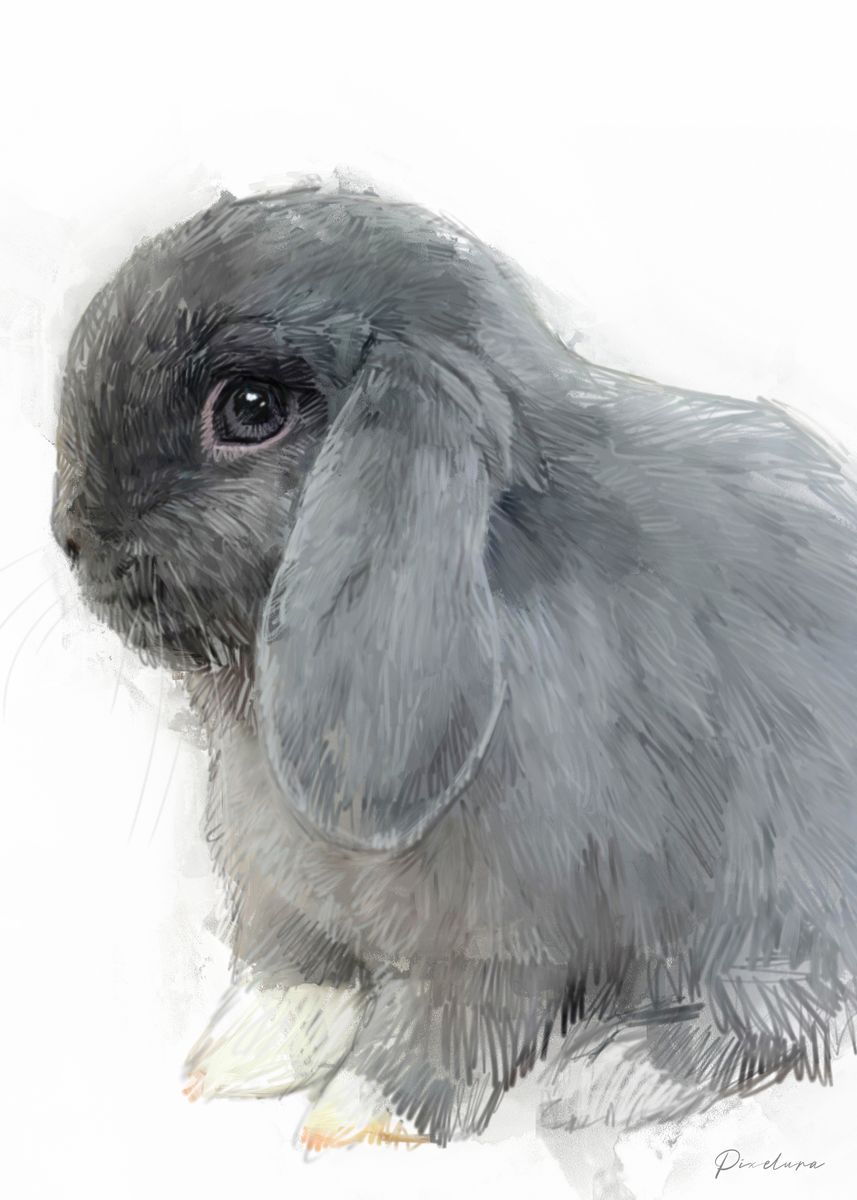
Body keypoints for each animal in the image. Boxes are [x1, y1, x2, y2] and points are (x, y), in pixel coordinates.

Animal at [51, 179, 857, 1148]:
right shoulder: (286, 897)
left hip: (774, 904)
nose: (71, 535)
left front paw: (355, 1122)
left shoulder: (499, 939)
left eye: (248, 408)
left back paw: (609, 1078)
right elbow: (295, 969)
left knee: (776, 1021)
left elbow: (446, 1026)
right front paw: (232, 1060)